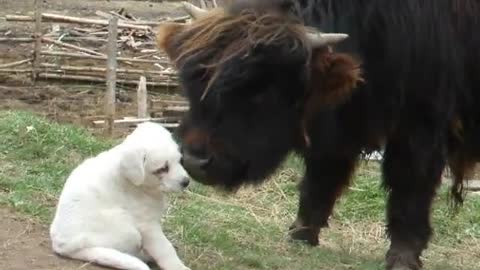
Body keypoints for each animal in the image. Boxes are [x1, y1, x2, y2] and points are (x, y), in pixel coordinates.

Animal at [49, 122, 191, 270]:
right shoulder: (147, 225)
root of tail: (61, 246)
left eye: (179, 160)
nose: (186, 182)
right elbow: (165, 248)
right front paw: (178, 266)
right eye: (162, 169)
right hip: (128, 229)